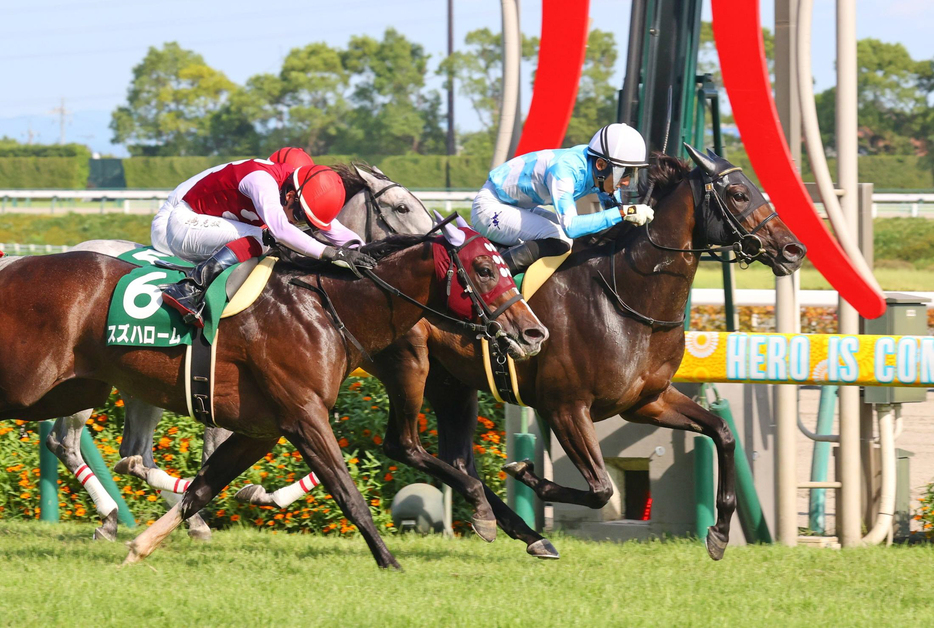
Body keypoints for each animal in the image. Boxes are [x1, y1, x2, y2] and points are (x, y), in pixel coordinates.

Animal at [0, 222, 548, 568]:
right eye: (483, 269)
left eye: (503, 266)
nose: (533, 333)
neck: (324, 306)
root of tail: (14, 264)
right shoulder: (304, 416)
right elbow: (349, 493)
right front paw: (391, 561)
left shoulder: (261, 429)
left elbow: (203, 487)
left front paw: (146, 546)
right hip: (37, 387)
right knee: (76, 444)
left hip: (78, 388)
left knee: (122, 454)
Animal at [245, 146, 808, 560]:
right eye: (737, 192)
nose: (793, 249)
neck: (626, 298)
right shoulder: (565, 406)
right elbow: (601, 488)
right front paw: (528, 474)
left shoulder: (646, 400)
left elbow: (724, 433)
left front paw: (718, 534)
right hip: (410, 365)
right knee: (403, 446)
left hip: (452, 386)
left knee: (458, 459)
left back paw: (516, 529)